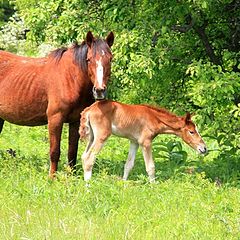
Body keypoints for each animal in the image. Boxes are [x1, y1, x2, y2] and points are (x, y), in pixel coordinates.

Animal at [0, 31, 114, 177]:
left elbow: (72, 151)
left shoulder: (76, 121)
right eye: (89, 59)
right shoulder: (55, 119)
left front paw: (70, 176)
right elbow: (54, 151)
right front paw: (52, 177)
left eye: (110, 59)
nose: (99, 90)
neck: (70, 78)